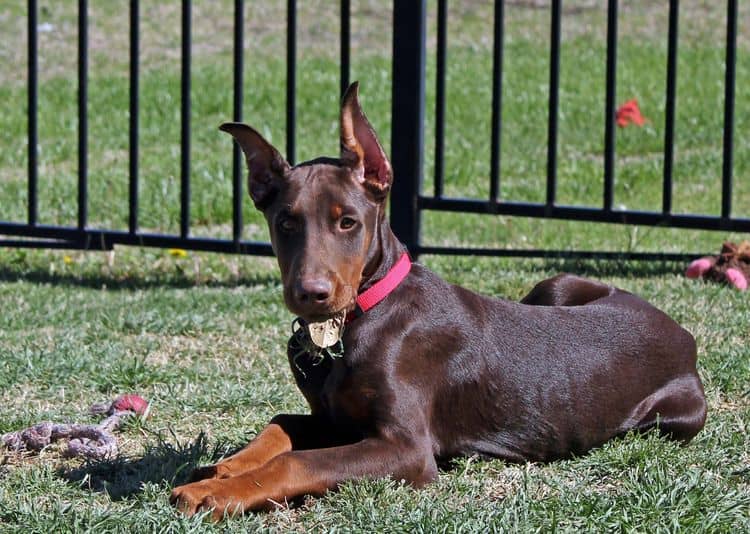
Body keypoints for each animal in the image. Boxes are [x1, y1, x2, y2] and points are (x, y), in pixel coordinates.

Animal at [169, 82, 704, 520]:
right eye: (285, 223)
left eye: (348, 223)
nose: (311, 294)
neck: (360, 317)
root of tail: (684, 335)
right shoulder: (332, 418)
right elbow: (280, 425)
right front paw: (225, 467)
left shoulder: (405, 449)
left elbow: (296, 463)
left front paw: (214, 493)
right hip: (554, 285)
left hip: (672, 420)